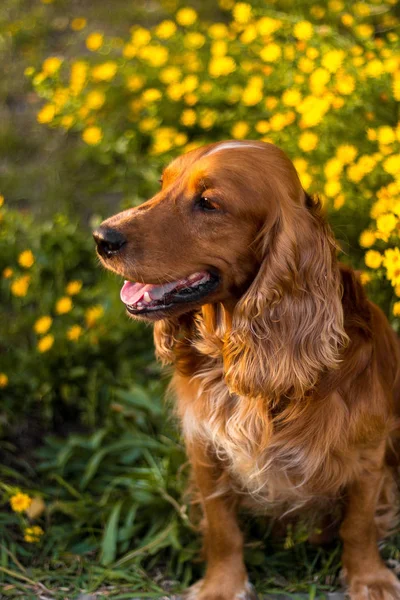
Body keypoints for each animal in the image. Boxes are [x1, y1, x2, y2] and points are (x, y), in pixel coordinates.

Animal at [93, 142, 400, 600]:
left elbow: (358, 526)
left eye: (208, 203)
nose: (101, 238)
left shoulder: (367, 452)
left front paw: (370, 578)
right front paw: (223, 584)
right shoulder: (205, 446)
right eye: (163, 184)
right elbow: (223, 528)